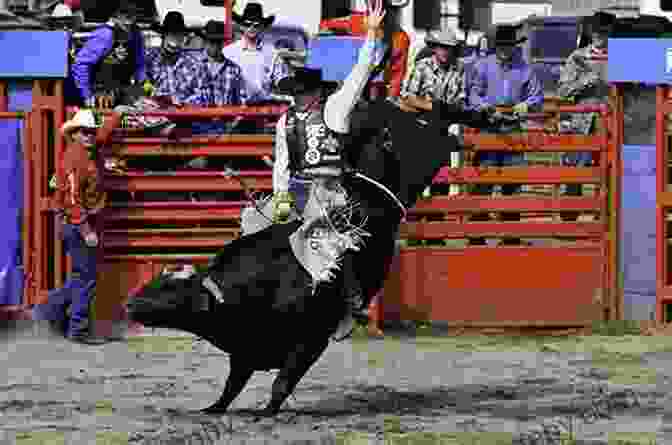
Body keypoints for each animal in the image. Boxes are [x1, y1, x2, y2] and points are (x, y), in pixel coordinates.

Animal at [124, 99, 494, 414]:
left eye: (171, 291)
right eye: (160, 280)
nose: (130, 303)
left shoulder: (310, 341)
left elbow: (282, 381)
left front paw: (266, 412)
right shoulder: (245, 351)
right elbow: (232, 385)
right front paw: (213, 409)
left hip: (420, 152)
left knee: (437, 130)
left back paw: (465, 120)